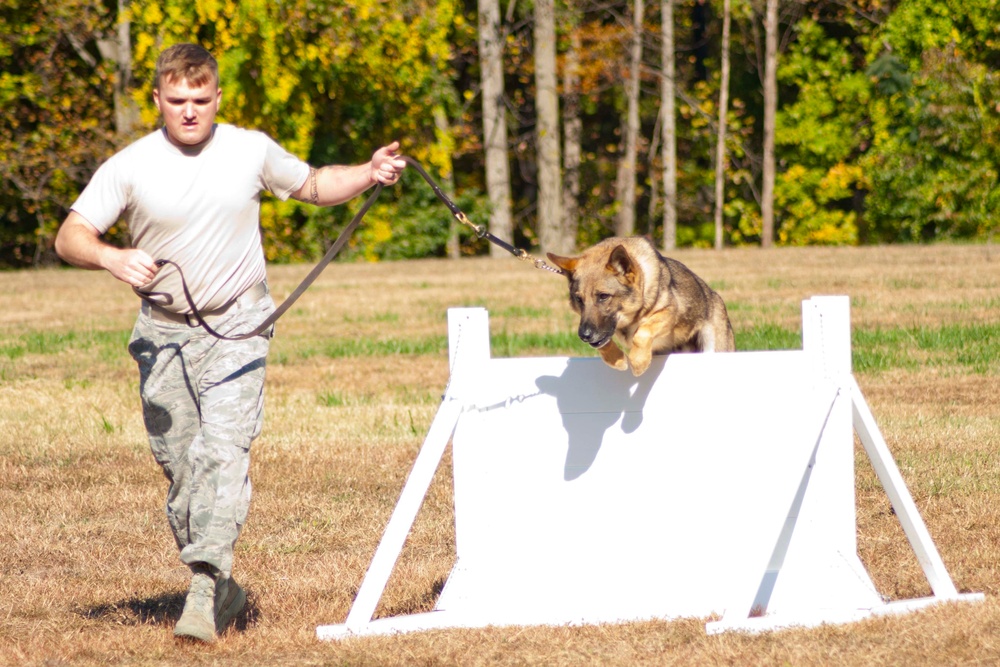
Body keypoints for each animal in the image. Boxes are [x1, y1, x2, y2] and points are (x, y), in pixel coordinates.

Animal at [548, 237, 736, 378]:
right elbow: (604, 343)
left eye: (603, 296)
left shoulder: (668, 313)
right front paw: (618, 360)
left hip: (715, 347)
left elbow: (642, 332)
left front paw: (638, 362)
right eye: (578, 299)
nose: (584, 336)